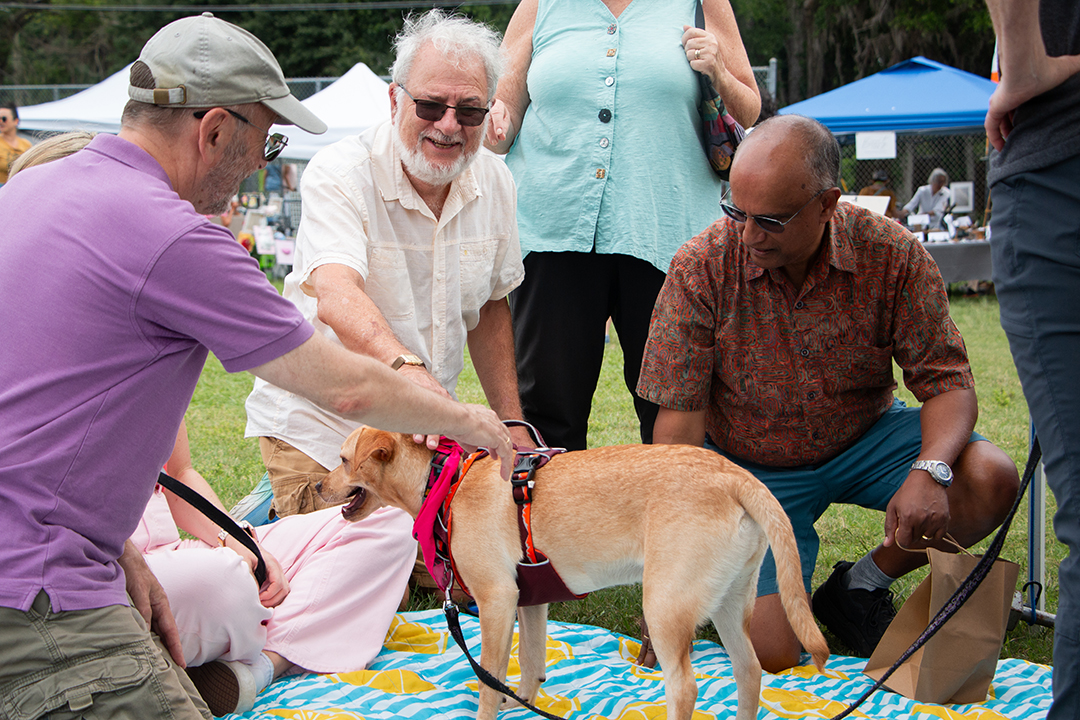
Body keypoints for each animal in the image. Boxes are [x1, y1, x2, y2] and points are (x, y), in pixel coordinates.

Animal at [318, 428, 829, 720]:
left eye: (342, 460)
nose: (319, 486)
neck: (443, 482)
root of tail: (735, 475)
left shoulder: (496, 602)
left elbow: (488, 679)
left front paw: (492, 706)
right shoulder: (530, 603)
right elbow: (529, 664)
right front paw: (522, 701)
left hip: (664, 609)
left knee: (684, 688)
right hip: (729, 604)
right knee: (749, 671)